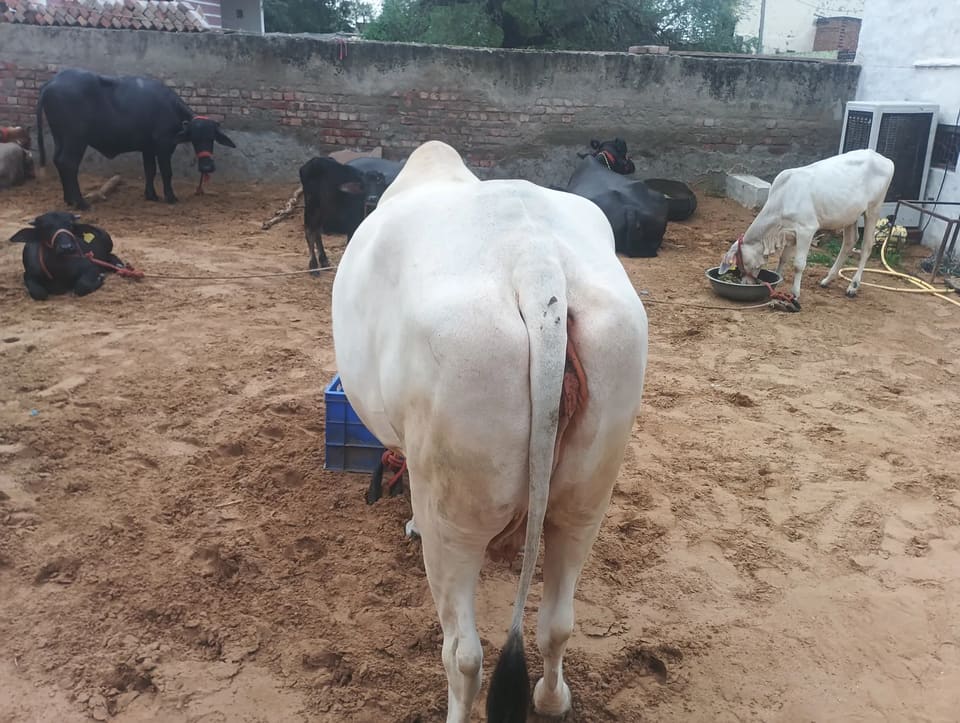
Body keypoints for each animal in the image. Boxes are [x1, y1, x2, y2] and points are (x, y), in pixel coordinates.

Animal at [36, 68, 236, 210]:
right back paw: (81, 203)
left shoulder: (147, 148)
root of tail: (51, 82)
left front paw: (151, 195)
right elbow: (166, 172)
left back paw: (69, 199)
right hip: (75, 139)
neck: (169, 108)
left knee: (58, 161)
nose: (207, 167)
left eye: (211, 138)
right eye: (195, 138)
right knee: (68, 163)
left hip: (59, 136)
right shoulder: (164, 146)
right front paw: (170, 197)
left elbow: (150, 170)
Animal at [331, 141, 648, 723]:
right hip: (586, 496)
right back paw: (551, 698)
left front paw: (409, 521)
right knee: (557, 621)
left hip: (454, 516)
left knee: (463, 654)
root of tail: (536, 262)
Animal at [719, 149, 895, 301]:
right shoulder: (790, 233)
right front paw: (779, 280)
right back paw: (827, 280)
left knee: (866, 246)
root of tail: (885, 159)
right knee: (850, 241)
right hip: (850, 215)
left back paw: (853, 286)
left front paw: (795, 293)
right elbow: (783, 258)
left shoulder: (807, 229)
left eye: (740, 262)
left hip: (873, 208)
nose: (745, 283)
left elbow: (799, 264)